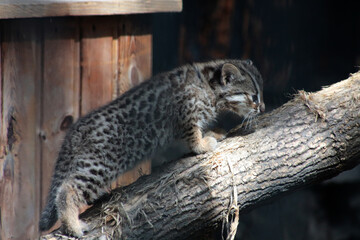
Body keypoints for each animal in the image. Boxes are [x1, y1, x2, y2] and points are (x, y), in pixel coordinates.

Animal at [38, 58, 264, 236]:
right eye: (254, 97)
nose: (262, 108)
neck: (210, 86)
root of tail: (75, 130)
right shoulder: (185, 112)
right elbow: (192, 135)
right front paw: (202, 143)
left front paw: (213, 132)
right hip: (101, 163)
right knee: (67, 188)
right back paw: (73, 225)